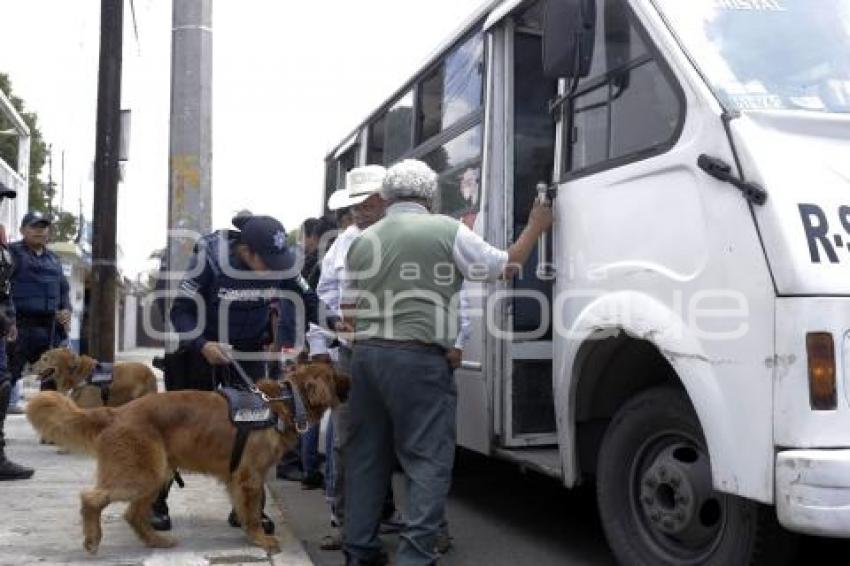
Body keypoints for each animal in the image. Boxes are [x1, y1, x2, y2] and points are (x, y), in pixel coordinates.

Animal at [27, 364, 348, 556]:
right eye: (336, 374)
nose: (352, 378)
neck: (284, 403)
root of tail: (117, 412)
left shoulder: (237, 479)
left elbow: (245, 511)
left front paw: (248, 533)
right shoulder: (250, 477)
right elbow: (254, 513)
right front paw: (261, 539)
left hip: (158, 474)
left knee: (133, 514)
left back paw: (156, 541)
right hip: (141, 475)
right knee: (91, 498)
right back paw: (93, 539)